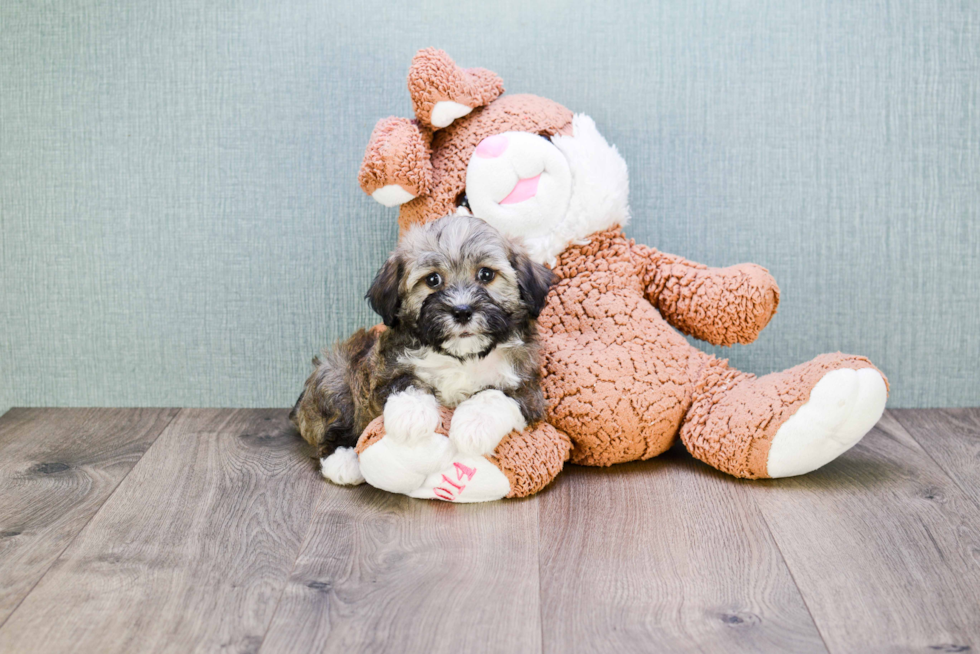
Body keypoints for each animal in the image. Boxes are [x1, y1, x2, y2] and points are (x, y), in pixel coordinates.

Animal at [288, 215, 556, 486]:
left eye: (486, 274)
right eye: (432, 280)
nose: (462, 311)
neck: (461, 357)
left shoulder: (528, 389)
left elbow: (493, 395)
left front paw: (473, 426)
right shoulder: (384, 371)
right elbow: (406, 383)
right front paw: (410, 416)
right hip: (336, 375)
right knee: (336, 423)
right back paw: (342, 460)